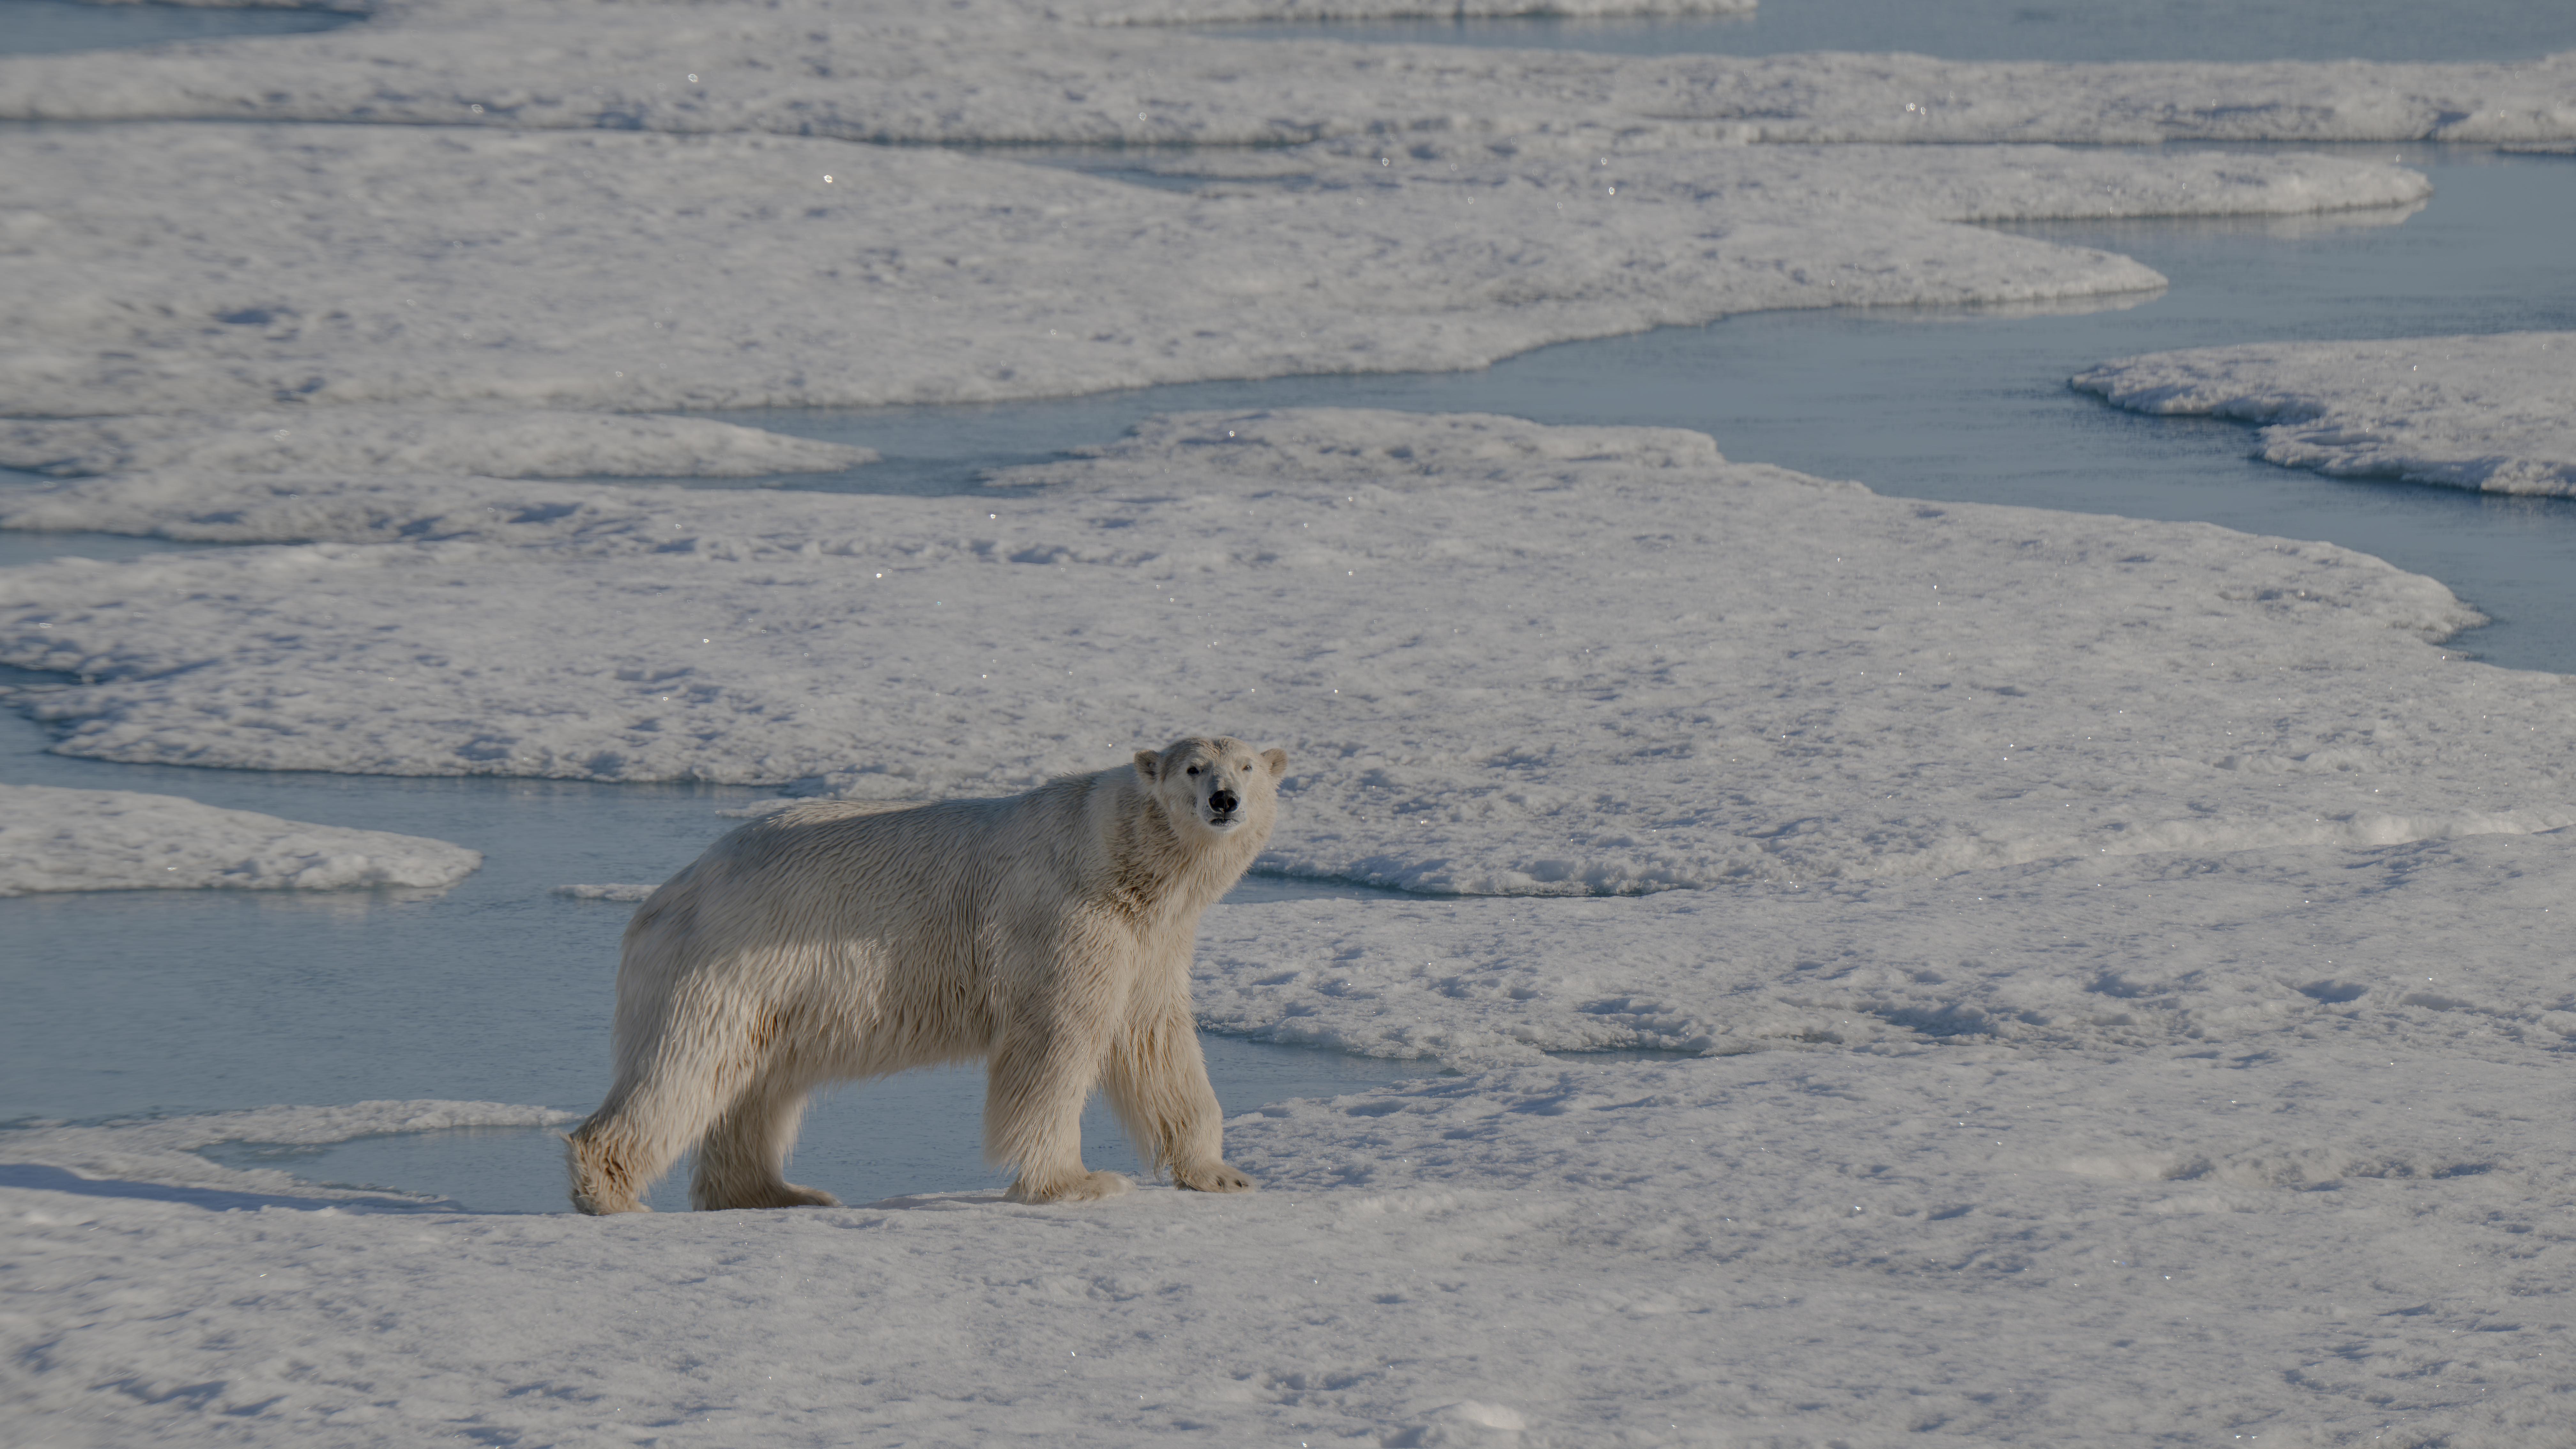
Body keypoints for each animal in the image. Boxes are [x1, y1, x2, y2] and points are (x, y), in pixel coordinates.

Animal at [566, 735, 1288, 1213]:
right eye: (1193, 767)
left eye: (1247, 766)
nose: (1224, 800)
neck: (1120, 861)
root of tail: (671, 893)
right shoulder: (1063, 920)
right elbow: (1056, 1045)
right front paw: (1076, 1182)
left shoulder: (1151, 941)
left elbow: (1156, 1041)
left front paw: (1222, 1173)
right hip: (726, 964)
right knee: (684, 1069)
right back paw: (612, 1191)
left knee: (754, 1086)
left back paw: (779, 1191)